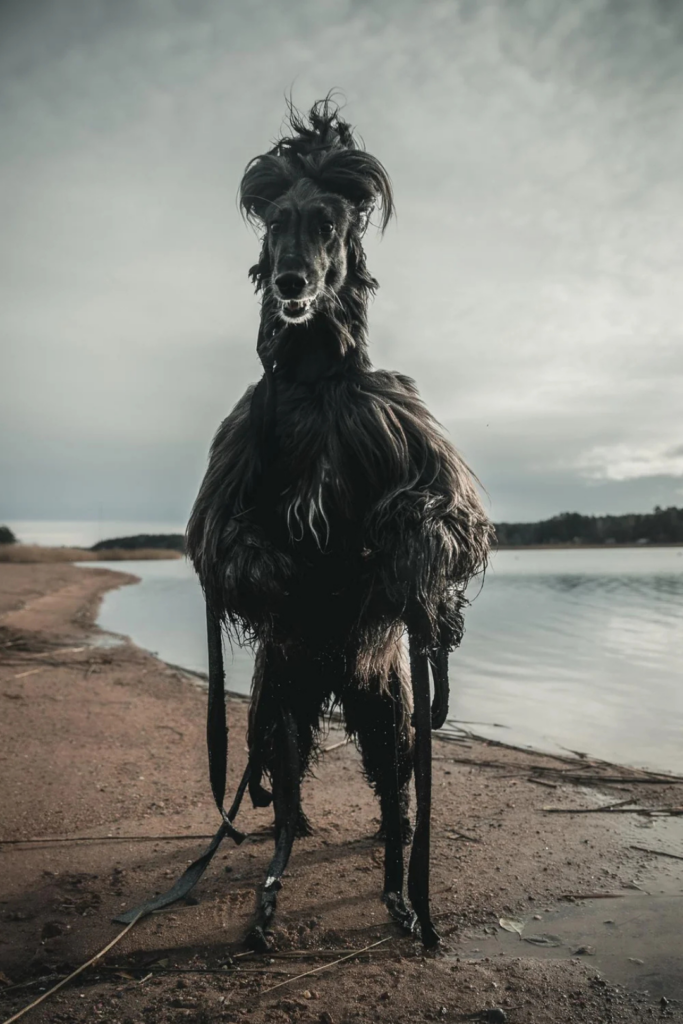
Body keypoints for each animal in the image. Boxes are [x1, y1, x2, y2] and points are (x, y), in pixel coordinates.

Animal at [184, 99, 491, 946]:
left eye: (328, 221)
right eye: (276, 220)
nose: (290, 280)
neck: (318, 380)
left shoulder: (420, 448)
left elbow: (449, 520)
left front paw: (401, 550)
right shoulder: (225, 483)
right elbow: (222, 544)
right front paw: (279, 571)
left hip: (386, 705)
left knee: (396, 802)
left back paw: (399, 896)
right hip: (281, 701)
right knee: (285, 800)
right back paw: (271, 892)